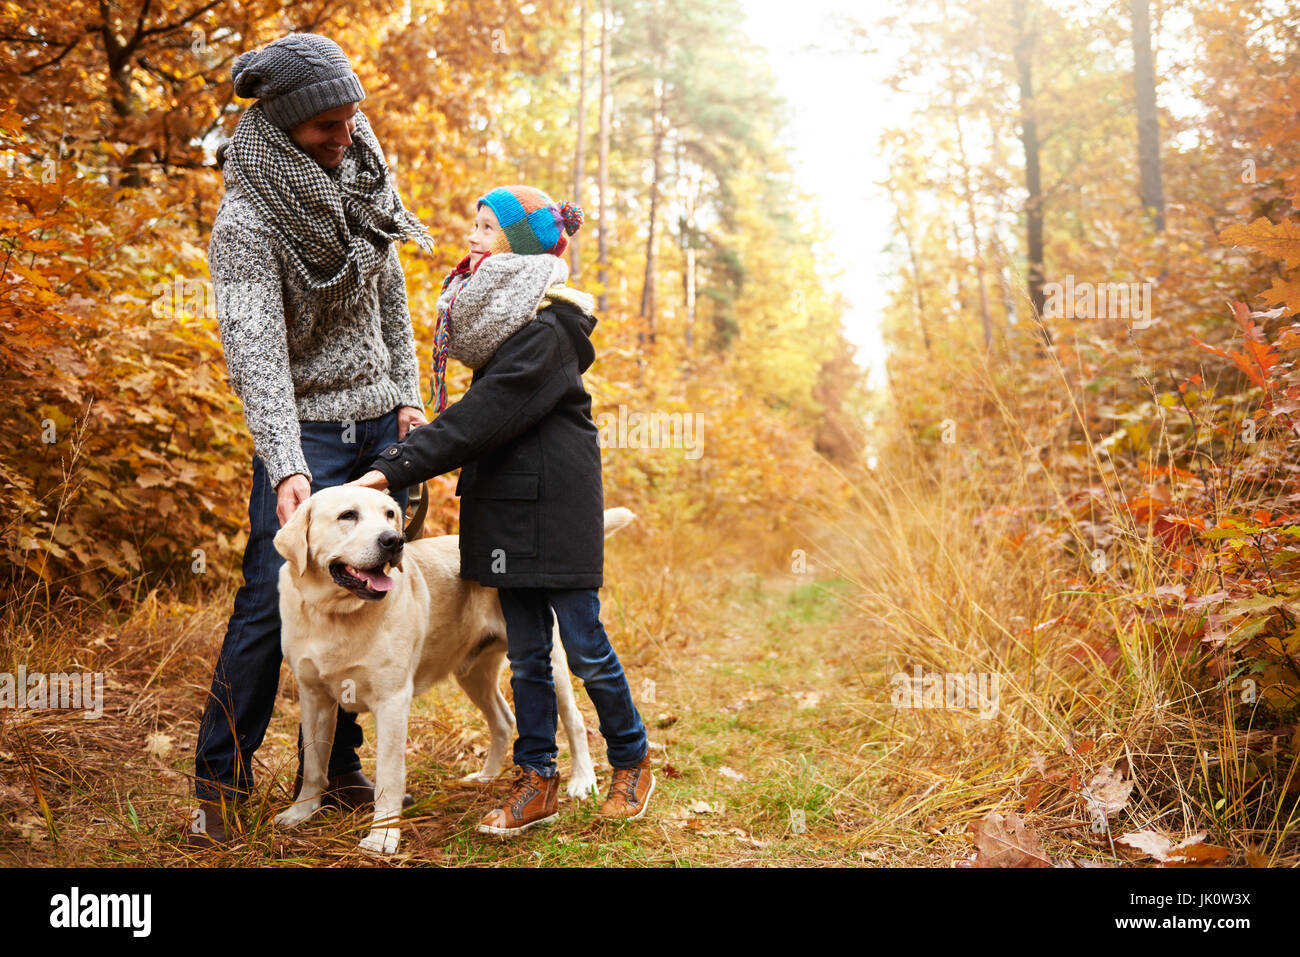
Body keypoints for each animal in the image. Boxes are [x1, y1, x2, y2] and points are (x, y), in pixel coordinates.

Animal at [270, 486, 634, 852]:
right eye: (348, 515)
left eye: (390, 514)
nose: (394, 540)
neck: (335, 614)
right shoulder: (313, 698)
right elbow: (314, 763)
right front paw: (301, 812)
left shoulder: (392, 701)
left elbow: (389, 775)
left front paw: (383, 835)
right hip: (473, 674)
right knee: (504, 720)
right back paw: (486, 775)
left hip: (553, 663)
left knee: (574, 720)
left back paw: (582, 780)